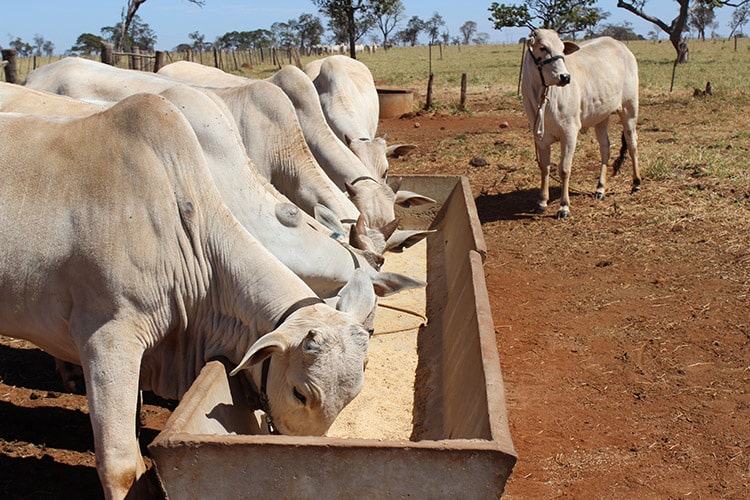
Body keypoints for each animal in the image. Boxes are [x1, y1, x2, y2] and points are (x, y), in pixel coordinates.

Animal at [524, 29, 640, 219]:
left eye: (562, 49)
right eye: (543, 47)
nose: (565, 77)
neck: (542, 97)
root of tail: (620, 45)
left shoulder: (569, 133)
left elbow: (564, 169)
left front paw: (564, 206)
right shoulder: (540, 137)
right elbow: (544, 168)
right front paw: (542, 202)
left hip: (629, 109)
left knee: (632, 144)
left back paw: (636, 183)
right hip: (601, 117)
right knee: (605, 148)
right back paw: (600, 189)